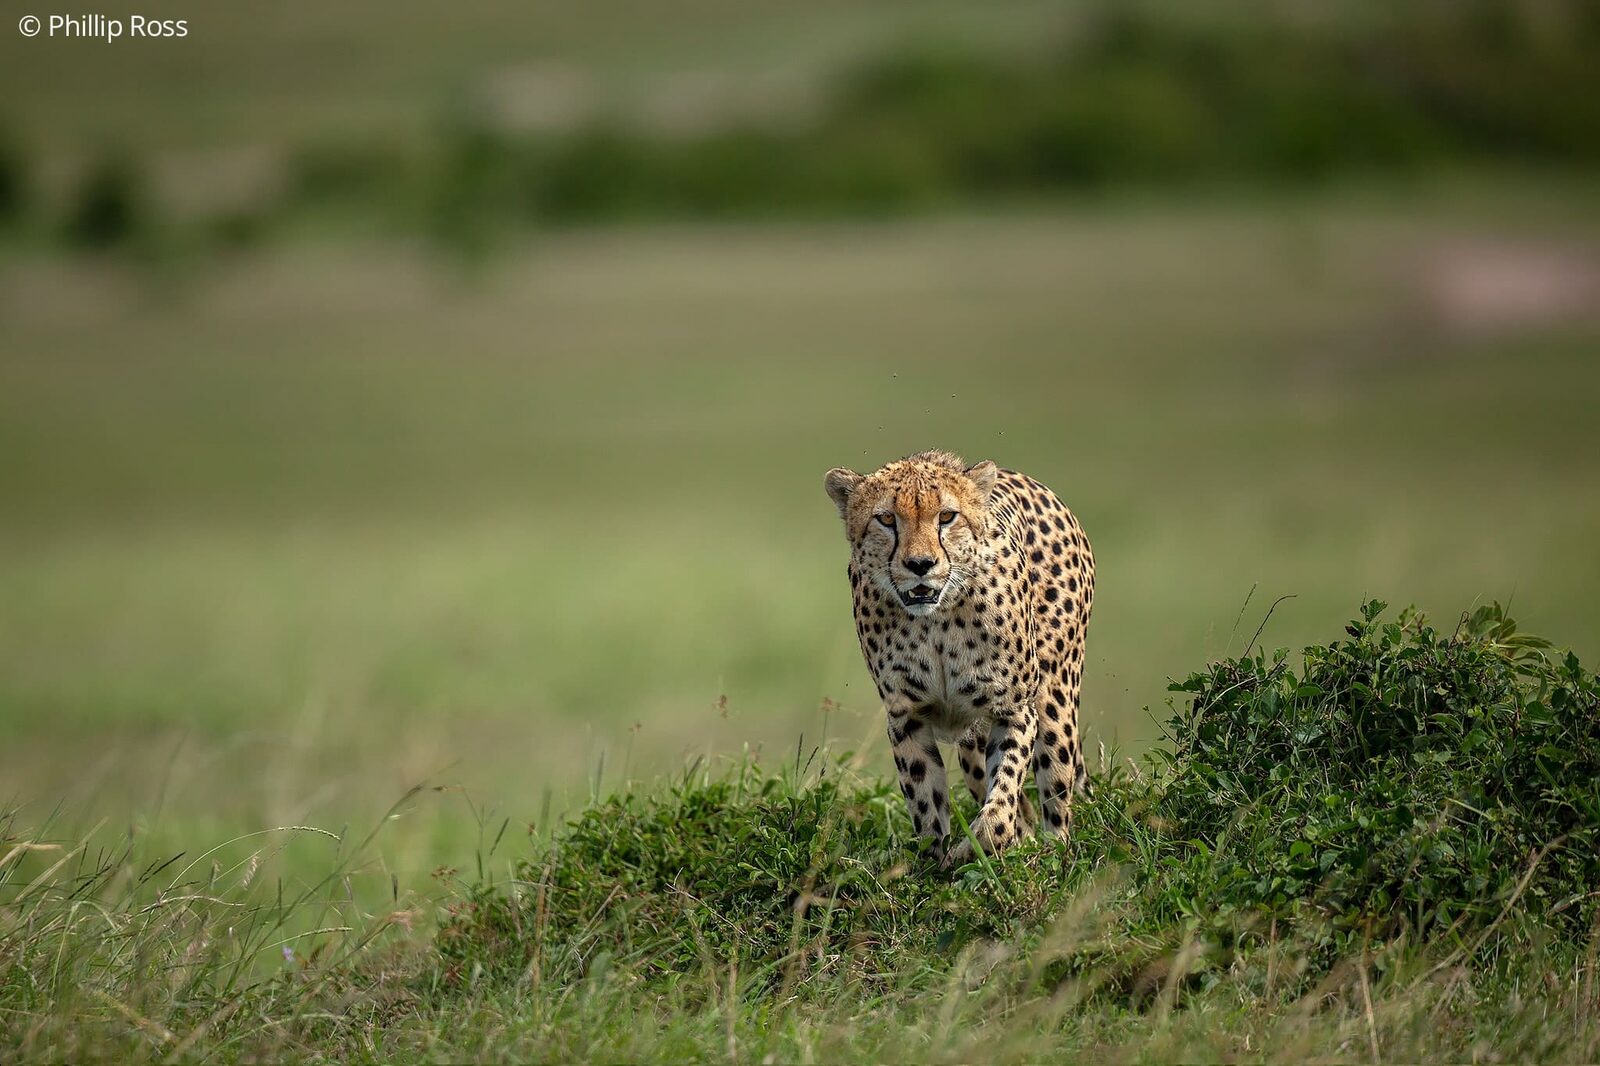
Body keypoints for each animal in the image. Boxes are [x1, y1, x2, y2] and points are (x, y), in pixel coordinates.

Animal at [824, 449, 1094, 866]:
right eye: (886, 519)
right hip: (973, 745)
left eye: (947, 516)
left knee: (1057, 797)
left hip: (1055, 702)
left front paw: (981, 844)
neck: (935, 621)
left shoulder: (1014, 709)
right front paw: (932, 861)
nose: (920, 564)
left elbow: (1002, 797)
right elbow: (926, 800)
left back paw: (1052, 849)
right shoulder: (907, 716)